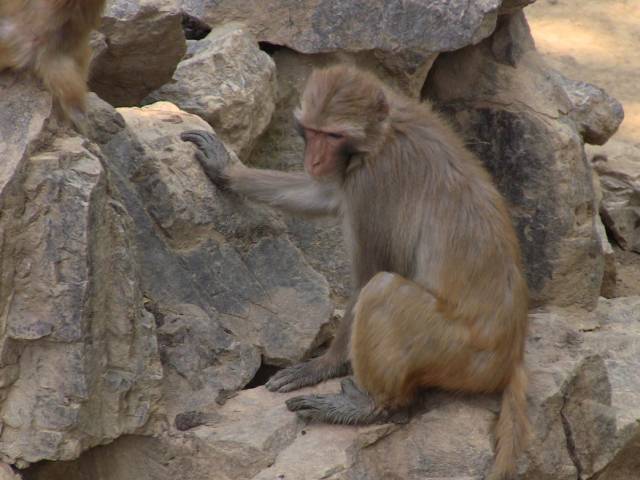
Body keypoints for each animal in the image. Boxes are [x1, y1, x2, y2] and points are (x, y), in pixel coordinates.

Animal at [184, 64, 528, 480]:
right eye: (312, 132)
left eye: (334, 136)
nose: (314, 161)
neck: (382, 135)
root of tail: (509, 359)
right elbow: (325, 194)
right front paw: (227, 170)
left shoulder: (373, 181)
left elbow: (369, 274)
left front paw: (322, 365)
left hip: (458, 354)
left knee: (383, 291)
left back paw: (375, 406)